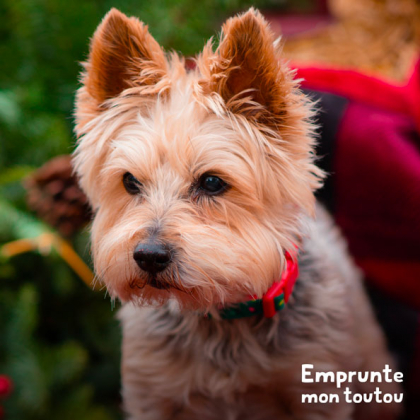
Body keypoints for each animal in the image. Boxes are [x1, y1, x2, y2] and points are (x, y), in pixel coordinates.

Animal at [74, 7, 402, 420]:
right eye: (130, 182)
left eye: (212, 182)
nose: (148, 256)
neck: (222, 315)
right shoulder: (152, 392)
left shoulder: (314, 386)